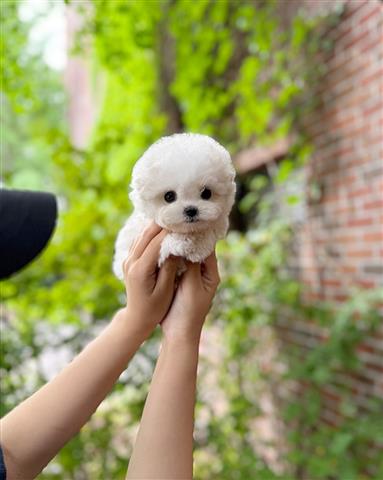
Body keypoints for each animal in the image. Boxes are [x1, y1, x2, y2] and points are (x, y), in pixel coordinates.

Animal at [112, 133, 236, 280]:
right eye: (169, 196)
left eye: (206, 193)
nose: (191, 210)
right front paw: (179, 243)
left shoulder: (217, 224)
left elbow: (207, 234)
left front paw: (197, 248)